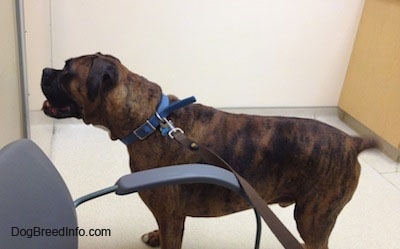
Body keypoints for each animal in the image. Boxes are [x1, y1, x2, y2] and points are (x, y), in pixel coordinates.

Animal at [42, 53, 376, 249]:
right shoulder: (169, 217)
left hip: (313, 218)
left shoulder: (171, 216)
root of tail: (351, 142)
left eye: (66, 70)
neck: (150, 122)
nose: (45, 69)